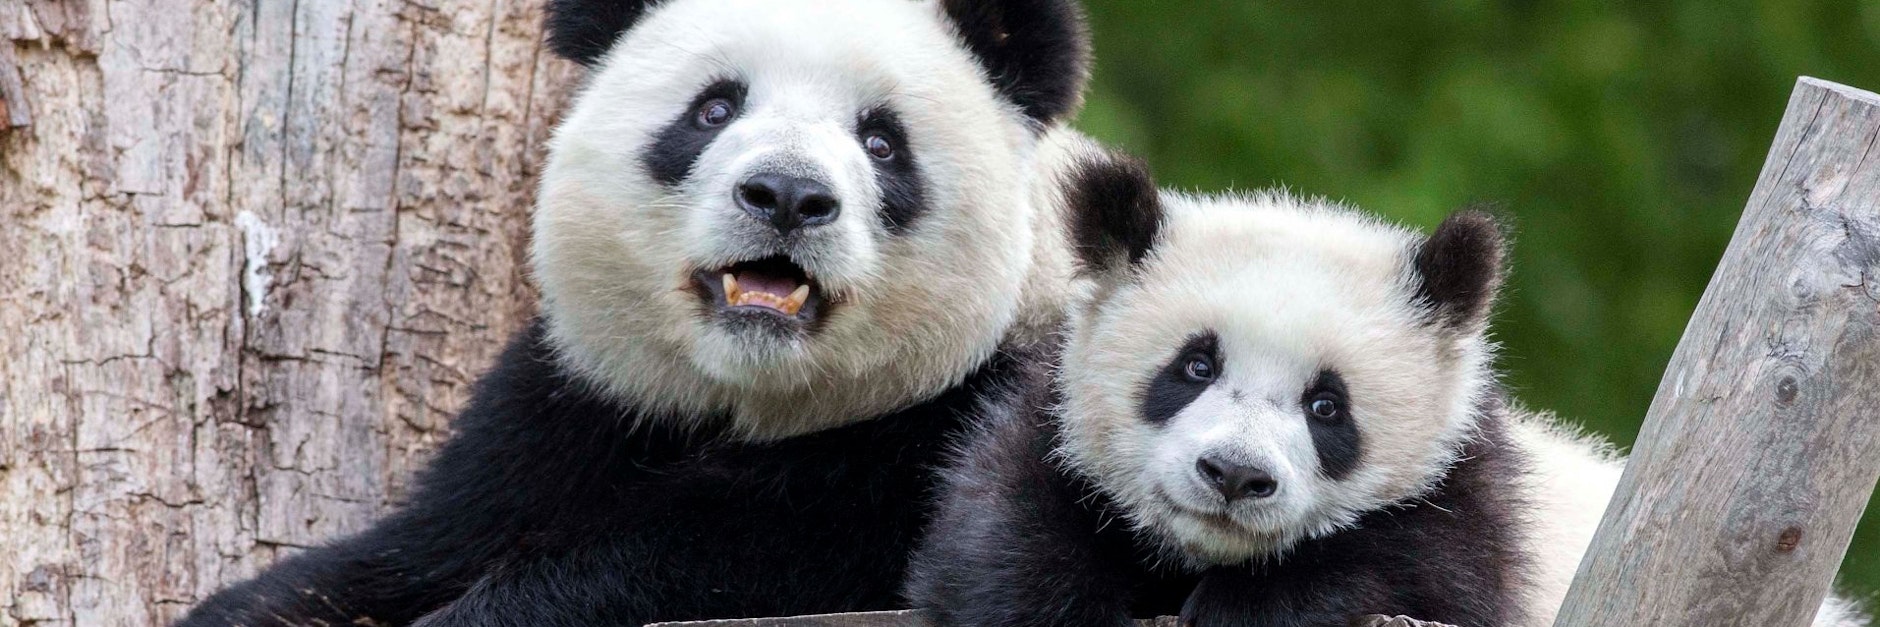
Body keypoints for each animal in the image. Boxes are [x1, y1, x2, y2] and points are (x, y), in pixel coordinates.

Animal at [177, 0, 1090, 625]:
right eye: (714, 108)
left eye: (882, 141)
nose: (786, 194)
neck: (751, 394)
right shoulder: (573, 414)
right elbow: (408, 553)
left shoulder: (946, 433)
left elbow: (730, 555)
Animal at [905, 151, 1872, 627]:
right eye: (1194, 366)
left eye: (1327, 406)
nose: (1234, 476)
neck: (1208, 553)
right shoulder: (1046, 432)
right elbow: (1001, 531)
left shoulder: (1479, 508)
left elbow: (1419, 577)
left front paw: (1255, 608)